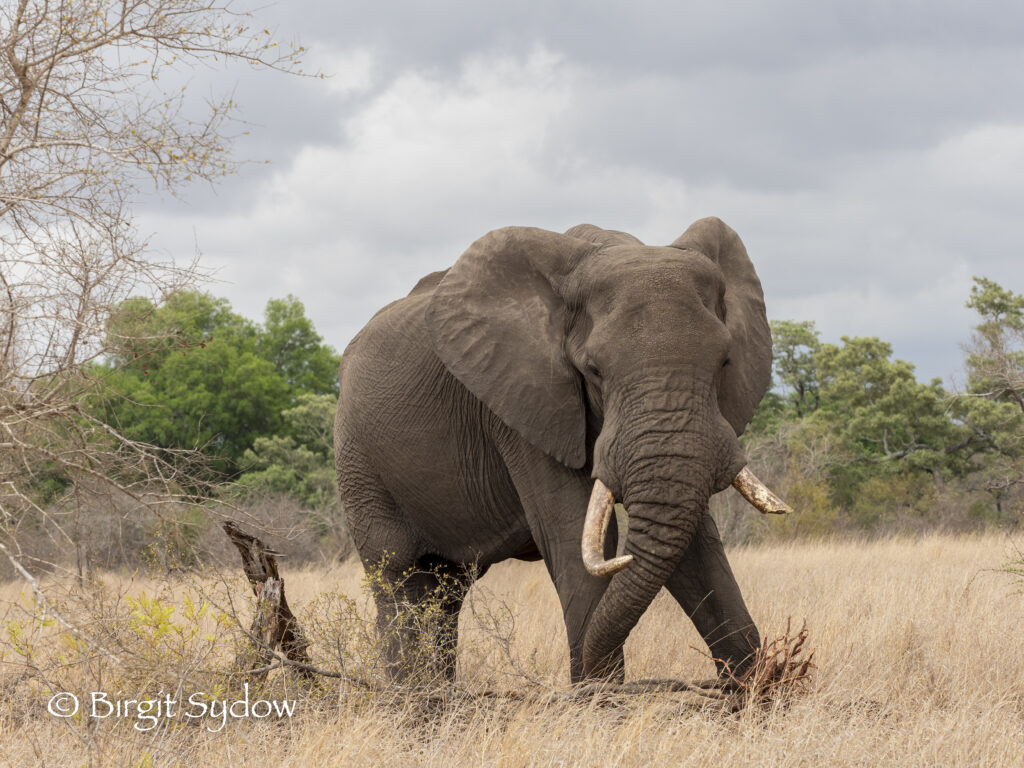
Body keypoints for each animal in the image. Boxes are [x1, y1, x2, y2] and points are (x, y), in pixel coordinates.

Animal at [333, 217, 790, 684]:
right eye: (593, 370)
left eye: (725, 362)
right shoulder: (523, 402)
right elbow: (573, 537)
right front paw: (598, 696)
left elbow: (697, 548)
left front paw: (749, 688)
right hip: (358, 459)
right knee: (399, 579)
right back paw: (412, 694)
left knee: (446, 593)